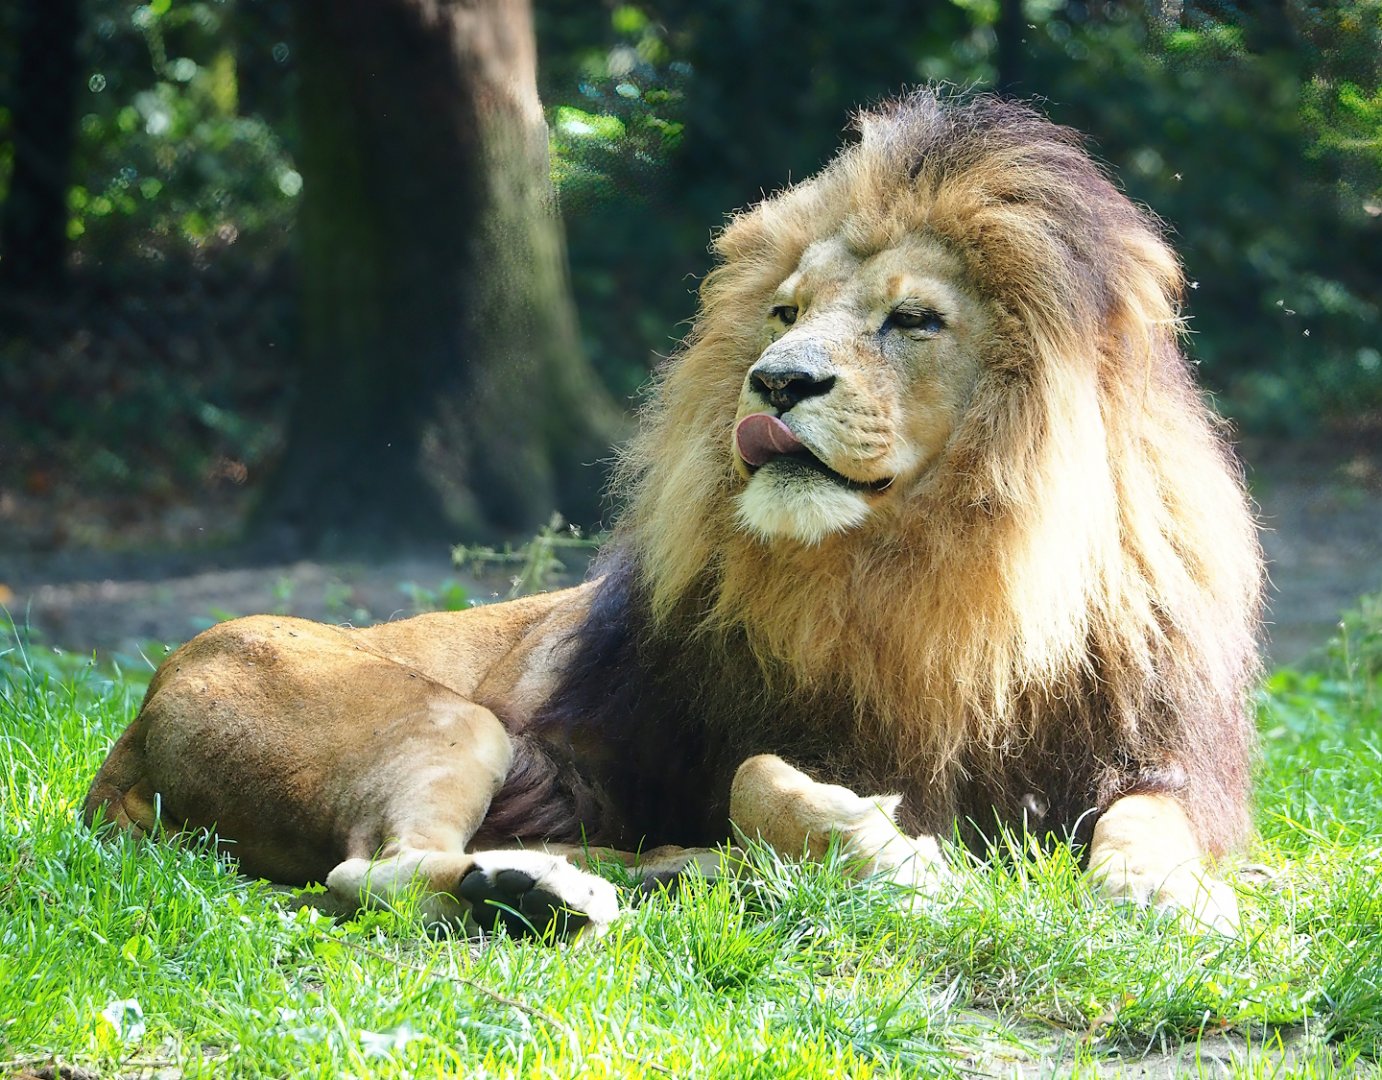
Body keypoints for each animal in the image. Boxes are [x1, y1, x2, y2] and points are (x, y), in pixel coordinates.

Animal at [85, 90, 1261, 939]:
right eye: (785, 312)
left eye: (914, 320)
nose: (775, 382)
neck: (933, 586)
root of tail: (129, 734)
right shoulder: (659, 755)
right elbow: (753, 777)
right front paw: (887, 851)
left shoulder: (1153, 756)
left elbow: (1152, 824)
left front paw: (1165, 895)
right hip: (434, 717)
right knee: (364, 873)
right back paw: (543, 893)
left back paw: (621, 882)